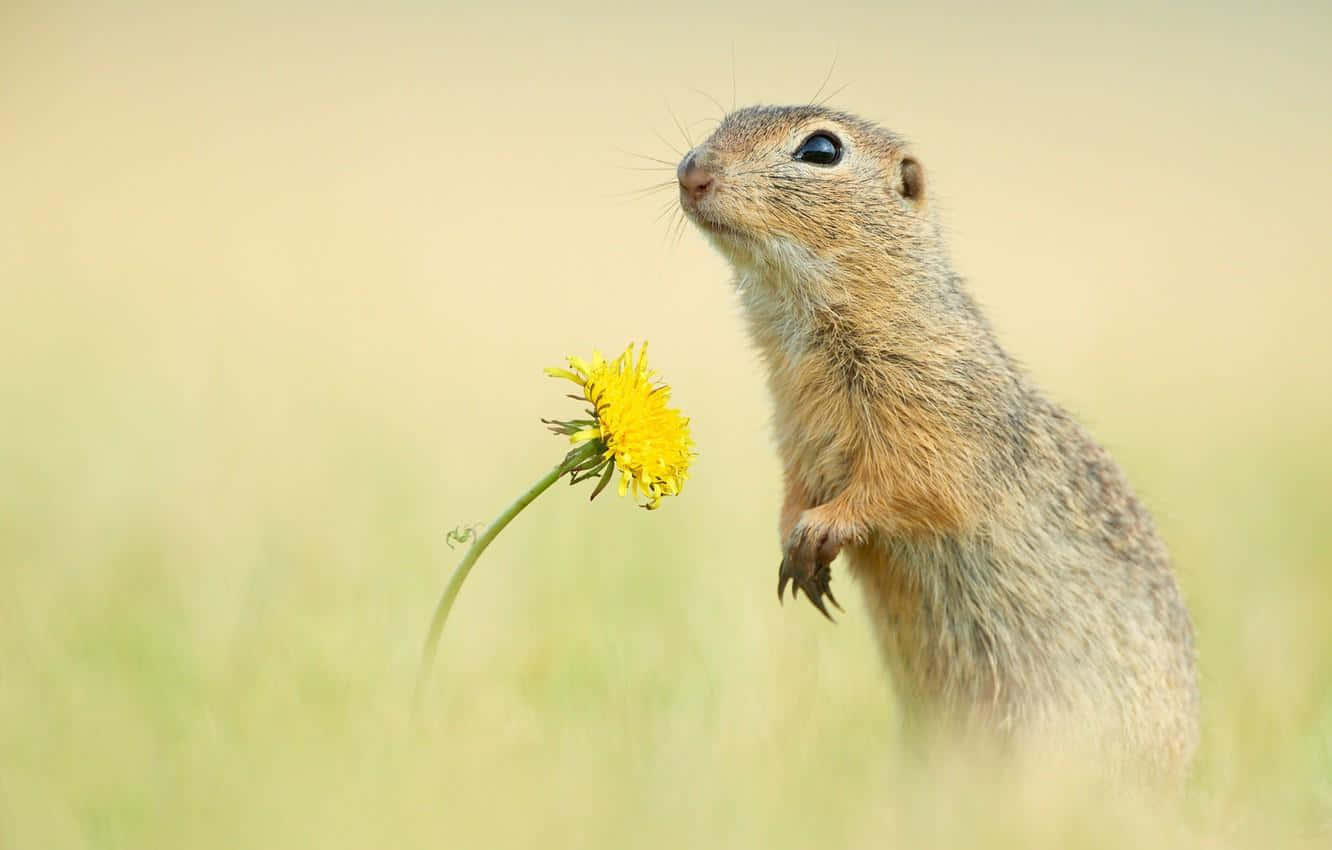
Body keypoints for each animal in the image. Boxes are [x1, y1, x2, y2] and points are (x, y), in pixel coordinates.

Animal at [681, 103, 1204, 778]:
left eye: (821, 149)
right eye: (726, 120)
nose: (691, 171)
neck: (807, 333)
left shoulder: (940, 419)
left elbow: (911, 488)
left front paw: (821, 529)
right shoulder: (795, 435)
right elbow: (795, 489)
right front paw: (793, 538)